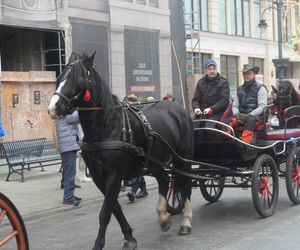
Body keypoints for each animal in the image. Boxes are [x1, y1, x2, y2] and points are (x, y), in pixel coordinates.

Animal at [47, 52, 193, 250]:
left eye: (78, 80)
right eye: (60, 78)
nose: (53, 108)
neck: (106, 127)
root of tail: (179, 108)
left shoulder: (115, 175)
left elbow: (105, 212)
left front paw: (99, 243)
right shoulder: (99, 177)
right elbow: (114, 208)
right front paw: (129, 236)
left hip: (183, 158)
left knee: (186, 184)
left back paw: (186, 221)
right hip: (155, 162)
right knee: (165, 180)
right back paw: (163, 217)